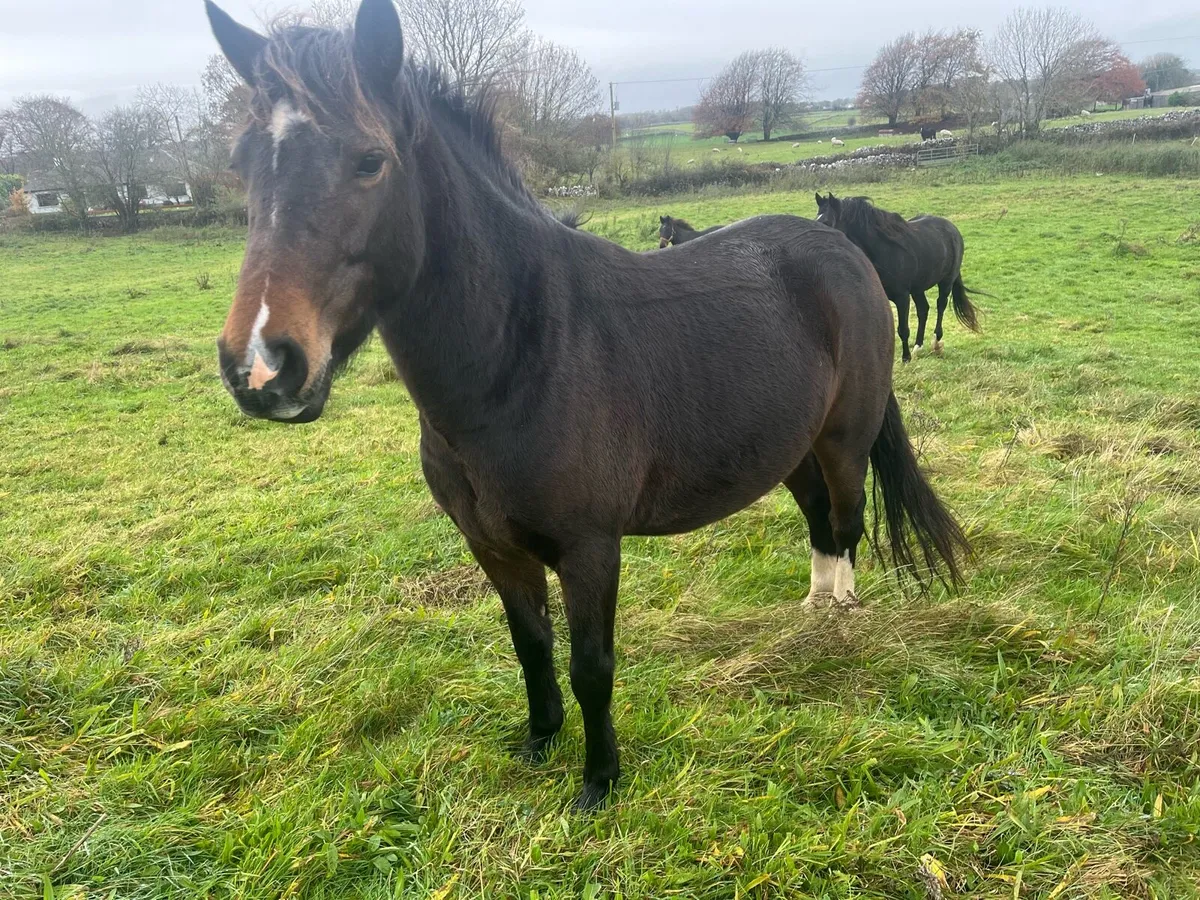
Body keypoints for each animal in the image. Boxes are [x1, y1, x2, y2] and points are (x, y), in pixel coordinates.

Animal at [815, 193, 983, 362]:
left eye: (827, 222)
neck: (884, 250)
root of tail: (952, 229)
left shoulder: (902, 297)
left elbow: (903, 329)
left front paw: (905, 358)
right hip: (918, 288)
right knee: (923, 309)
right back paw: (918, 347)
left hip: (946, 282)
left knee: (940, 305)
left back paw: (935, 343)